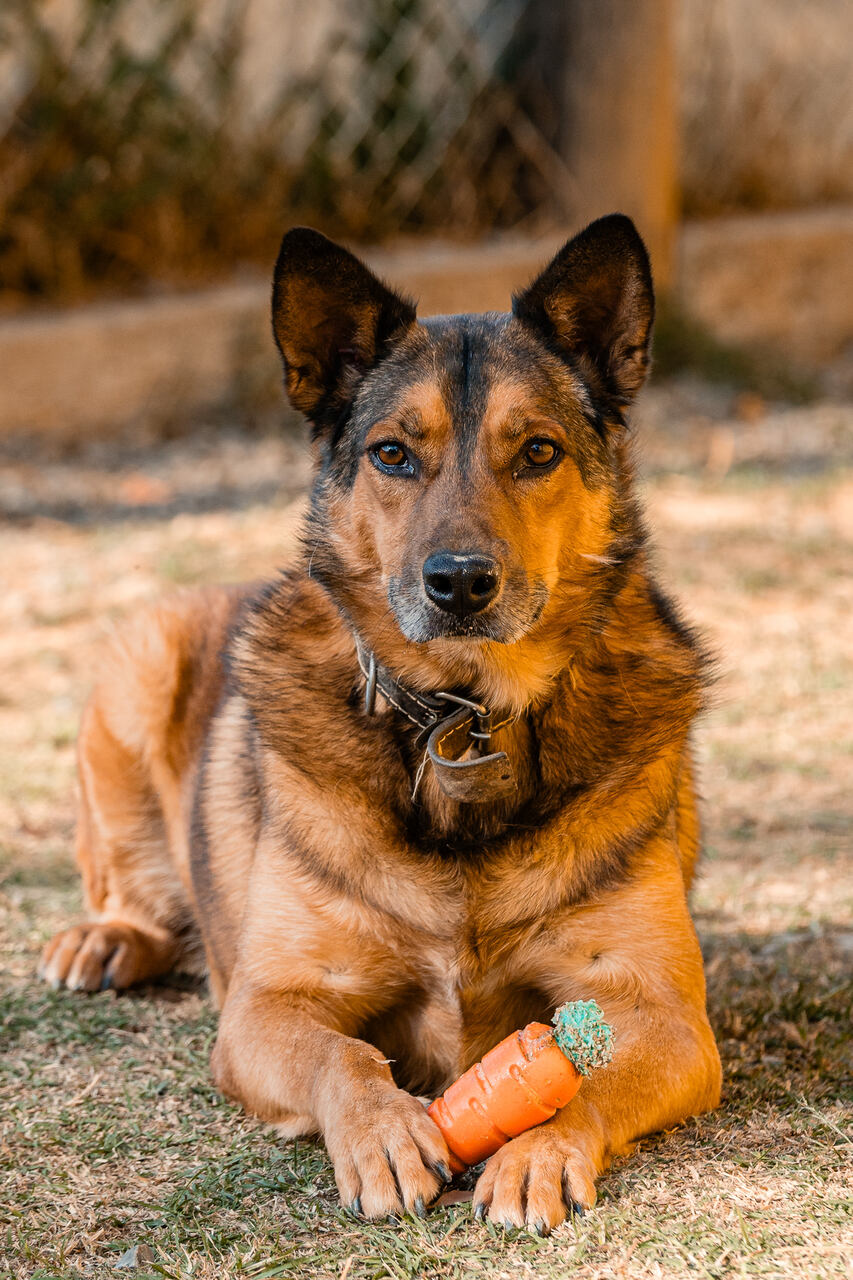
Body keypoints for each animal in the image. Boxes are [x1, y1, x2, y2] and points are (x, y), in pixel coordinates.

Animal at [38, 217, 717, 1228]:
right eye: (392, 454)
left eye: (538, 452)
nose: (459, 583)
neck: (464, 718)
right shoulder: (267, 1007)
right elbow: (343, 1055)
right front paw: (384, 1132)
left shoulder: (663, 1017)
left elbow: (583, 1077)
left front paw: (537, 1150)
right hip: (136, 664)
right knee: (134, 893)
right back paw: (104, 938)